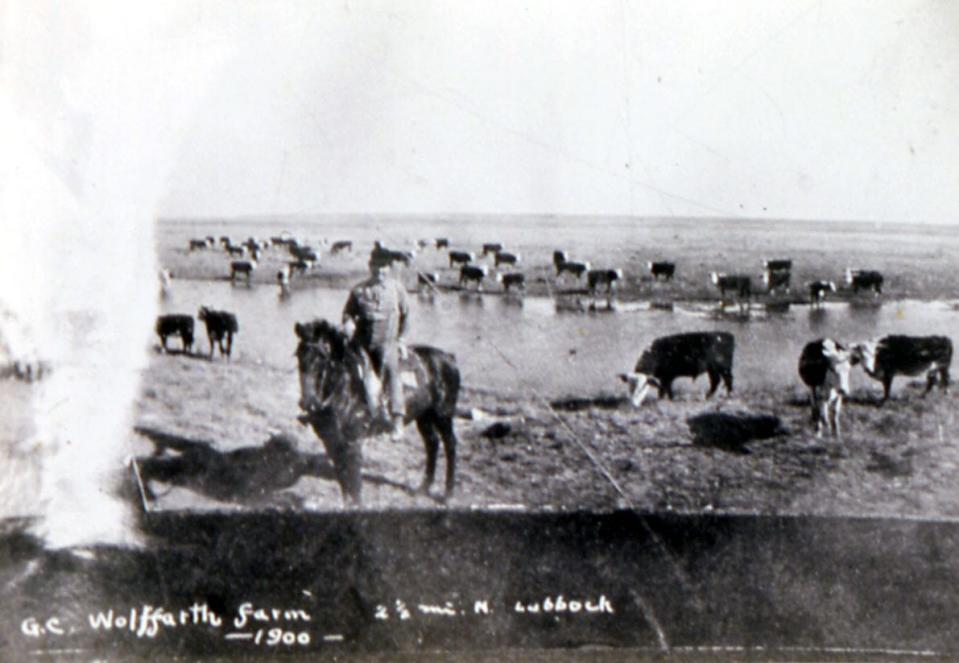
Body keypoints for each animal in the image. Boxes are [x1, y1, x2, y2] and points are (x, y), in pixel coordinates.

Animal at [292, 320, 462, 504]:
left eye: (322, 358)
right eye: (298, 355)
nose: (308, 403)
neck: (346, 388)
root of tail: (448, 357)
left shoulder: (353, 441)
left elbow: (354, 480)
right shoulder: (331, 441)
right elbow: (343, 478)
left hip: (443, 414)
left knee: (450, 444)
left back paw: (448, 494)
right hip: (424, 416)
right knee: (432, 443)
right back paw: (423, 488)